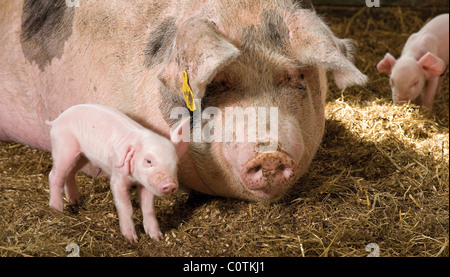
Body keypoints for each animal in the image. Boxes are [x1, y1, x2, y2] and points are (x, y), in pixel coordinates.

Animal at [47, 104, 190, 240]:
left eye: (176, 164)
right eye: (148, 161)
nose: (170, 184)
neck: (135, 179)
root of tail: (57, 120)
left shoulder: (147, 183)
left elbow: (148, 208)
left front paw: (157, 237)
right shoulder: (117, 179)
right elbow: (126, 207)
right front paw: (132, 240)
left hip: (82, 155)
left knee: (70, 173)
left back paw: (75, 201)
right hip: (63, 147)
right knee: (54, 175)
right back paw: (56, 210)